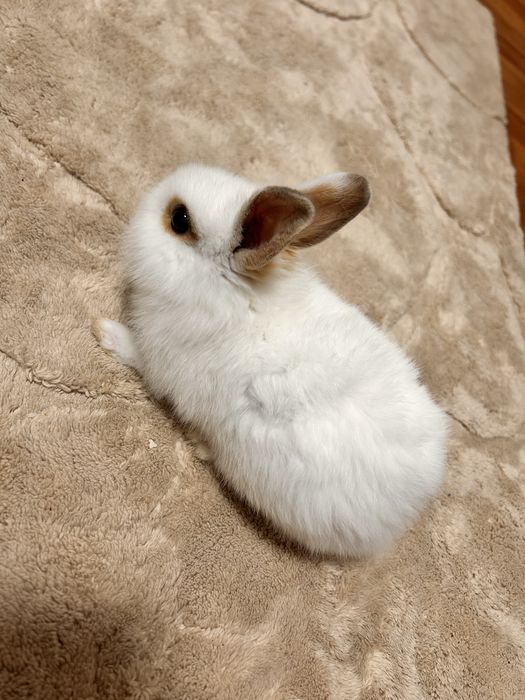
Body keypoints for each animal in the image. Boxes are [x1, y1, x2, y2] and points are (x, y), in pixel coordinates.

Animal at [93, 163, 447, 559]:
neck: (231, 290)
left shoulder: (158, 359)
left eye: (179, 219)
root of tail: (411, 504)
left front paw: (104, 331)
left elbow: (134, 352)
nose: (146, 198)